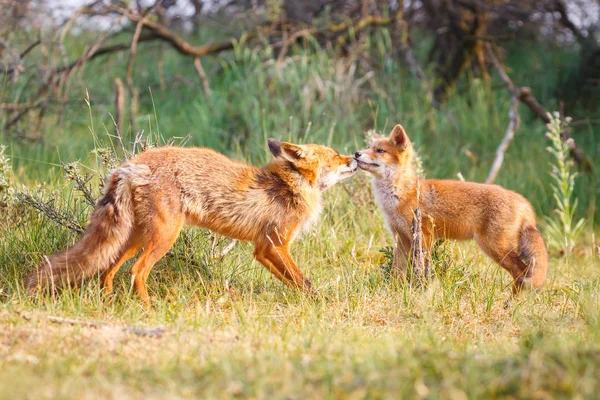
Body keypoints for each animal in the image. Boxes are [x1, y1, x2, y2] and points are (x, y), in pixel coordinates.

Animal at [27, 141, 356, 304]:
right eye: (335, 156)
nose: (354, 156)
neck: (288, 185)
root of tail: (130, 164)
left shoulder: (263, 249)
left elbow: (292, 280)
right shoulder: (274, 243)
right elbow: (303, 280)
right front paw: (320, 303)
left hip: (136, 236)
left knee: (109, 269)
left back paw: (109, 302)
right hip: (163, 236)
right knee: (136, 271)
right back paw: (148, 308)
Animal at [356, 123, 548, 292]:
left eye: (380, 151)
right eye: (368, 147)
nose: (357, 153)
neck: (400, 193)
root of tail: (523, 201)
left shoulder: (424, 235)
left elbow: (422, 268)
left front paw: (420, 289)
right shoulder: (401, 238)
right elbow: (397, 272)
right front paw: (395, 291)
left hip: (493, 247)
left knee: (521, 271)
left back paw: (512, 303)